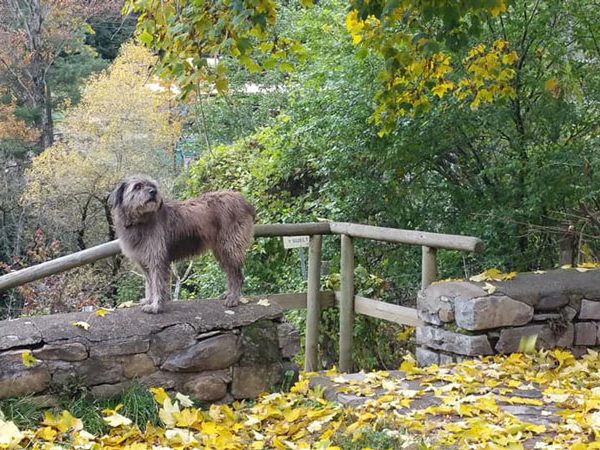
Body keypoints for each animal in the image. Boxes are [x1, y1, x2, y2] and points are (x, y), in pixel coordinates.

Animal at [110, 176, 255, 312]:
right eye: (137, 186)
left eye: (153, 186)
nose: (153, 192)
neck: (141, 221)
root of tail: (243, 201)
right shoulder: (144, 262)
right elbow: (150, 283)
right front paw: (149, 300)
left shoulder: (157, 260)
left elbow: (158, 284)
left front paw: (156, 306)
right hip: (221, 251)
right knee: (231, 273)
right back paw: (228, 294)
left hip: (229, 248)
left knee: (237, 275)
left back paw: (233, 298)